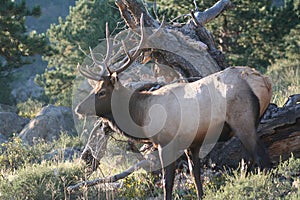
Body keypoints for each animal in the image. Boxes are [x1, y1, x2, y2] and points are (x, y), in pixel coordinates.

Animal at [75, 16, 272, 200]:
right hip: (254, 121)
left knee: (262, 158)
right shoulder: (192, 143)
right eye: (94, 89)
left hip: (243, 120)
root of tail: (264, 81)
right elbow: (195, 175)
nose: (78, 108)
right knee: (250, 160)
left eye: (101, 92)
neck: (142, 115)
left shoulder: (165, 142)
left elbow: (167, 181)